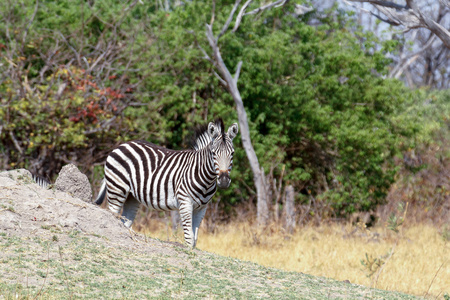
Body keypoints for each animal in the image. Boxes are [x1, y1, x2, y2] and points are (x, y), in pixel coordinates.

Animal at [95, 119, 239, 248]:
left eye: (232, 153)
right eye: (213, 153)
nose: (224, 181)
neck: (205, 179)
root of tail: (122, 145)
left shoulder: (202, 208)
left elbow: (195, 239)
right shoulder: (185, 202)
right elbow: (189, 239)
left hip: (132, 197)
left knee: (124, 221)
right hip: (116, 190)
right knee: (112, 215)